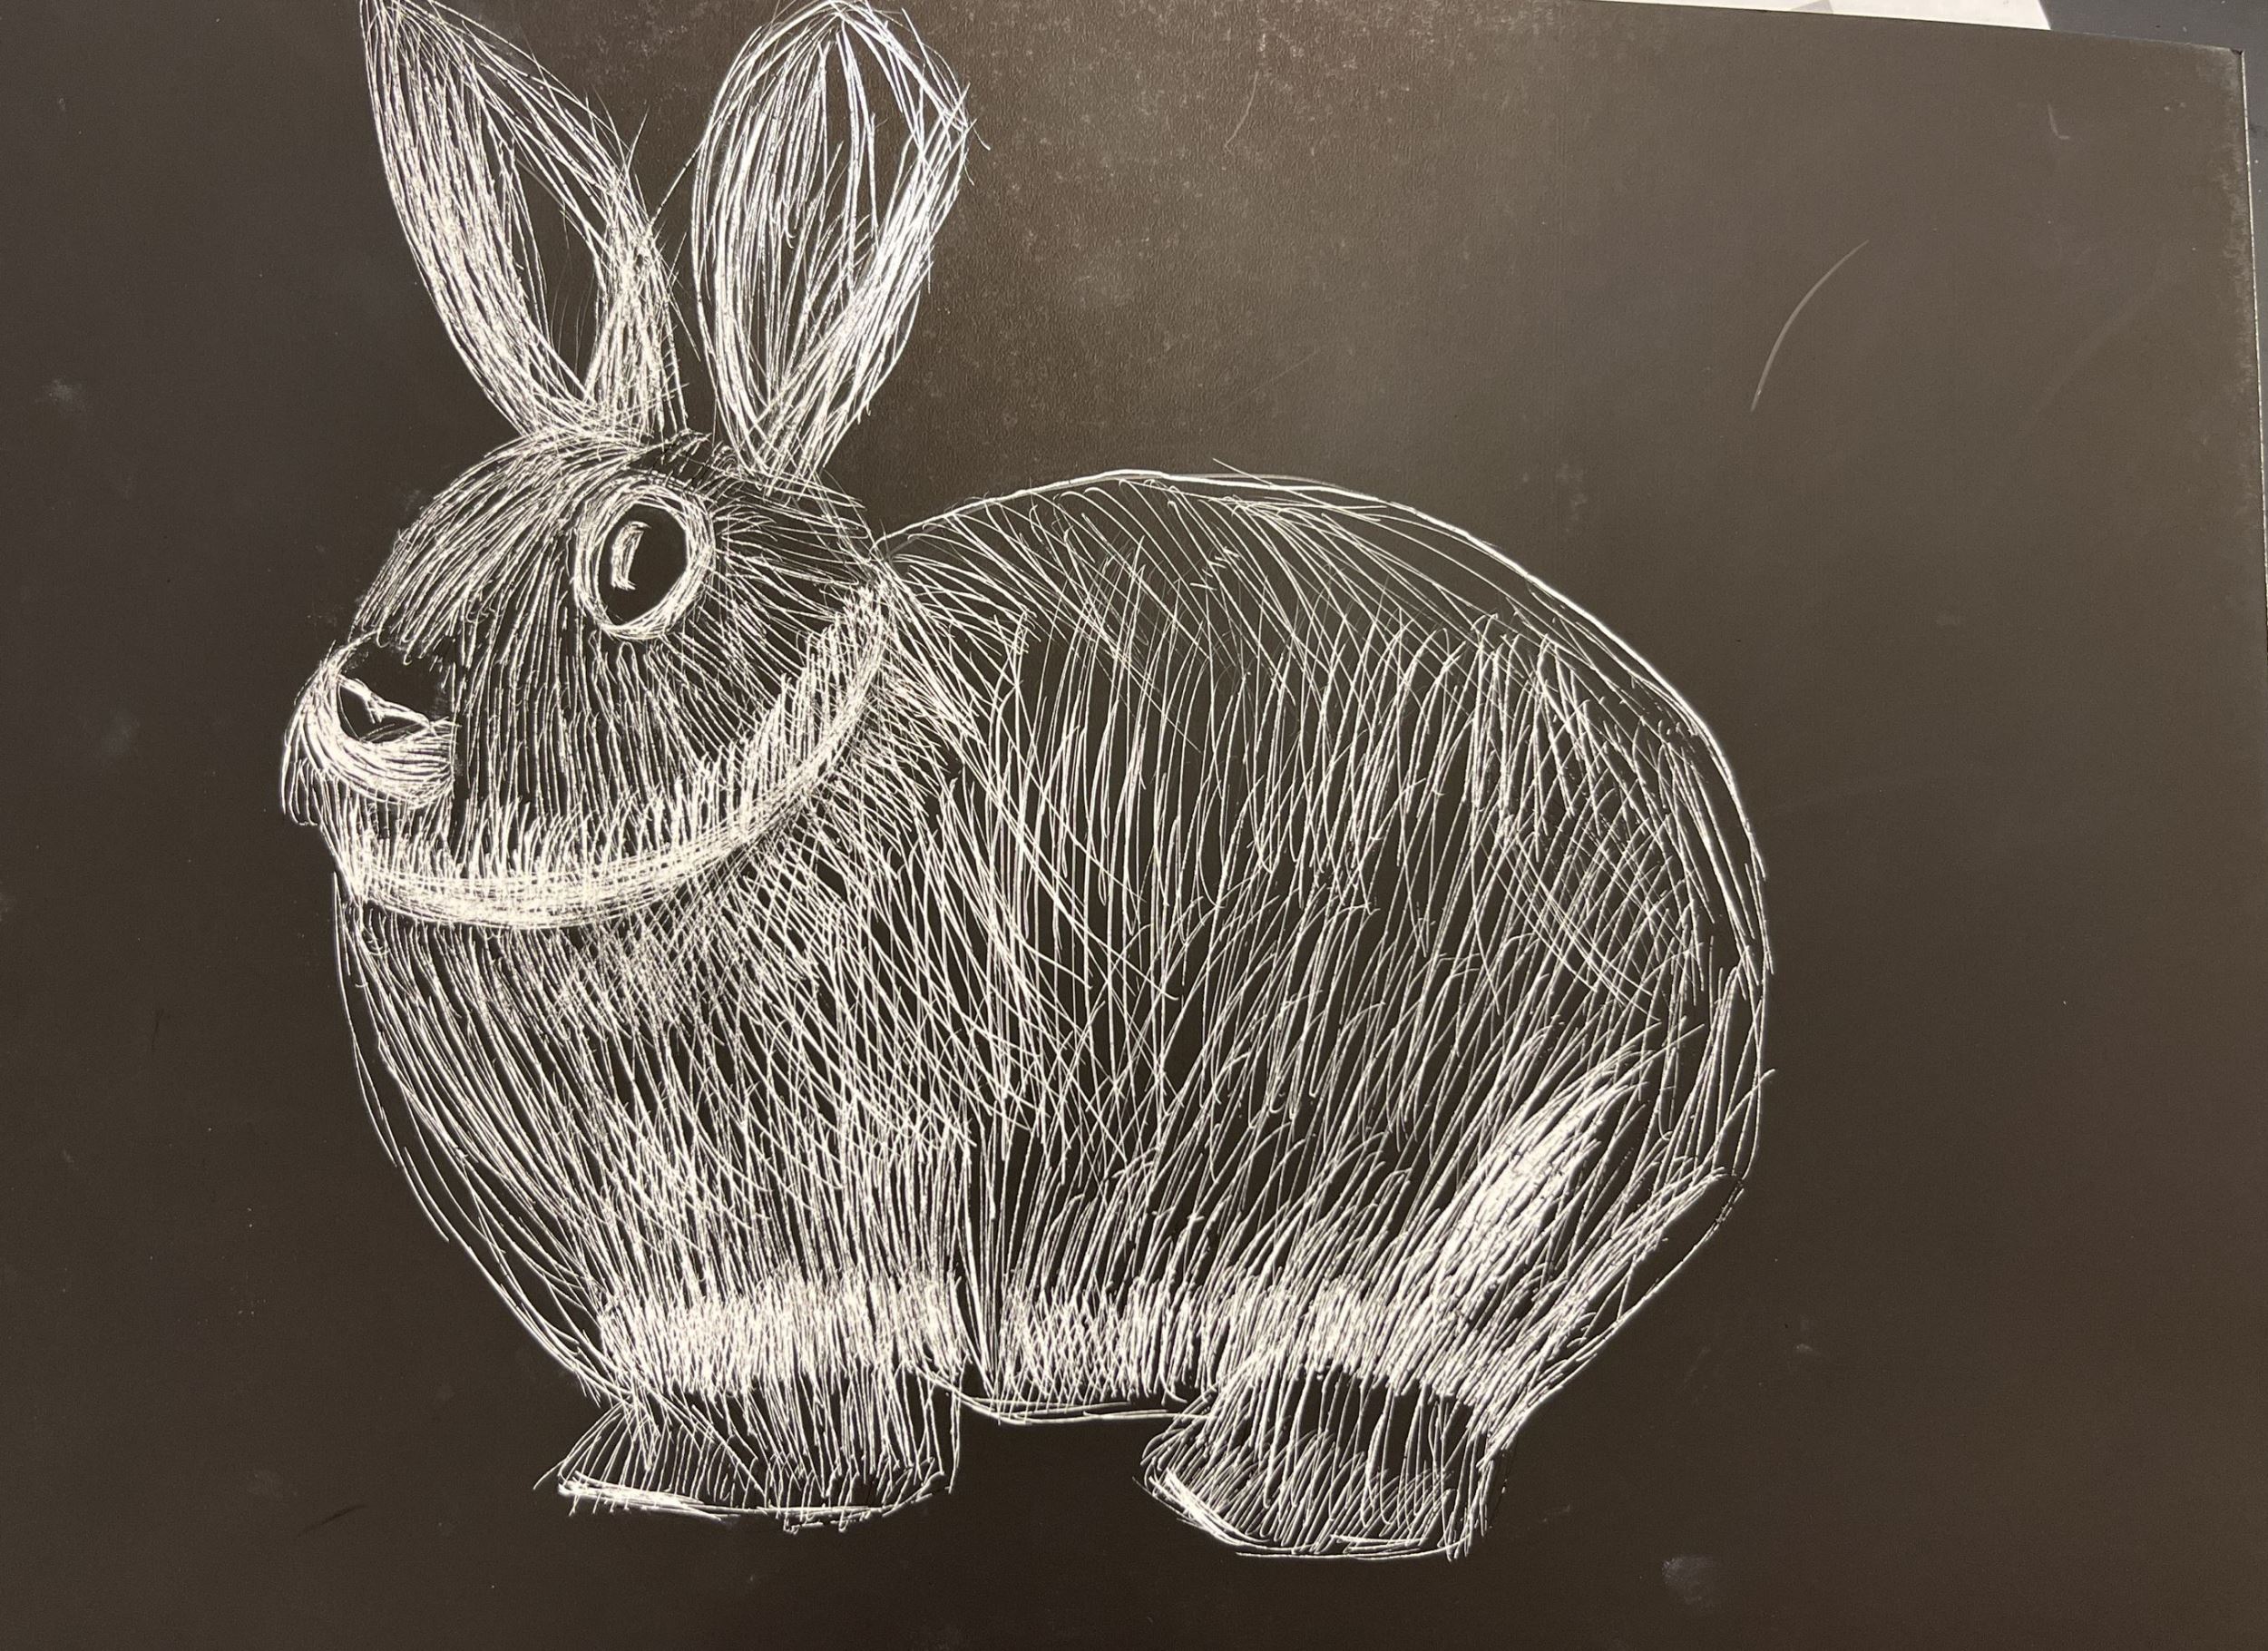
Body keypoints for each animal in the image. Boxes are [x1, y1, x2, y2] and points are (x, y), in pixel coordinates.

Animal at [283, 0, 1768, 1559]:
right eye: (441, 520)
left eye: (642, 561)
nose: (371, 700)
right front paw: (645, 1472)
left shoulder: (818, 1216)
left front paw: (744, 1488)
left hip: (1487, 1196)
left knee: (1386, 1373)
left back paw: (1246, 1493)